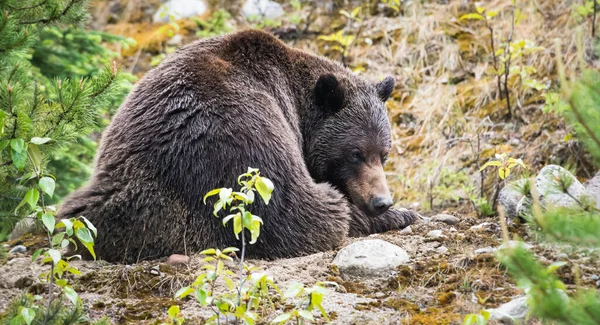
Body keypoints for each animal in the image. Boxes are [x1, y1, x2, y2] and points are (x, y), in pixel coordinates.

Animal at [59, 29, 418, 264]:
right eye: (355, 153)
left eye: (384, 154)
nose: (381, 202)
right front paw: (402, 213)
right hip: (240, 154)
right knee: (308, 213)